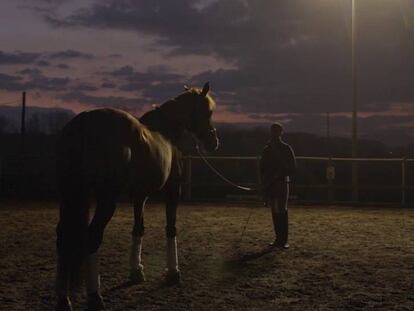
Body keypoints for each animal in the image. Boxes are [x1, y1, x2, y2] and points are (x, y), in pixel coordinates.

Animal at [54, 83, 220, 311]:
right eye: (208, 111)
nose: (213, 141)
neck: (167, 133)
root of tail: (85, 122)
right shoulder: (173, 189)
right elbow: (171, 228)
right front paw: (173, 273)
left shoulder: (140, 195)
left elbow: (138, 228)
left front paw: (136, 271)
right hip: (106, 199)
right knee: (92, 237)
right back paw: (95, 296)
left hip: (70, 194)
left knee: (63, 238)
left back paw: (64, 300)